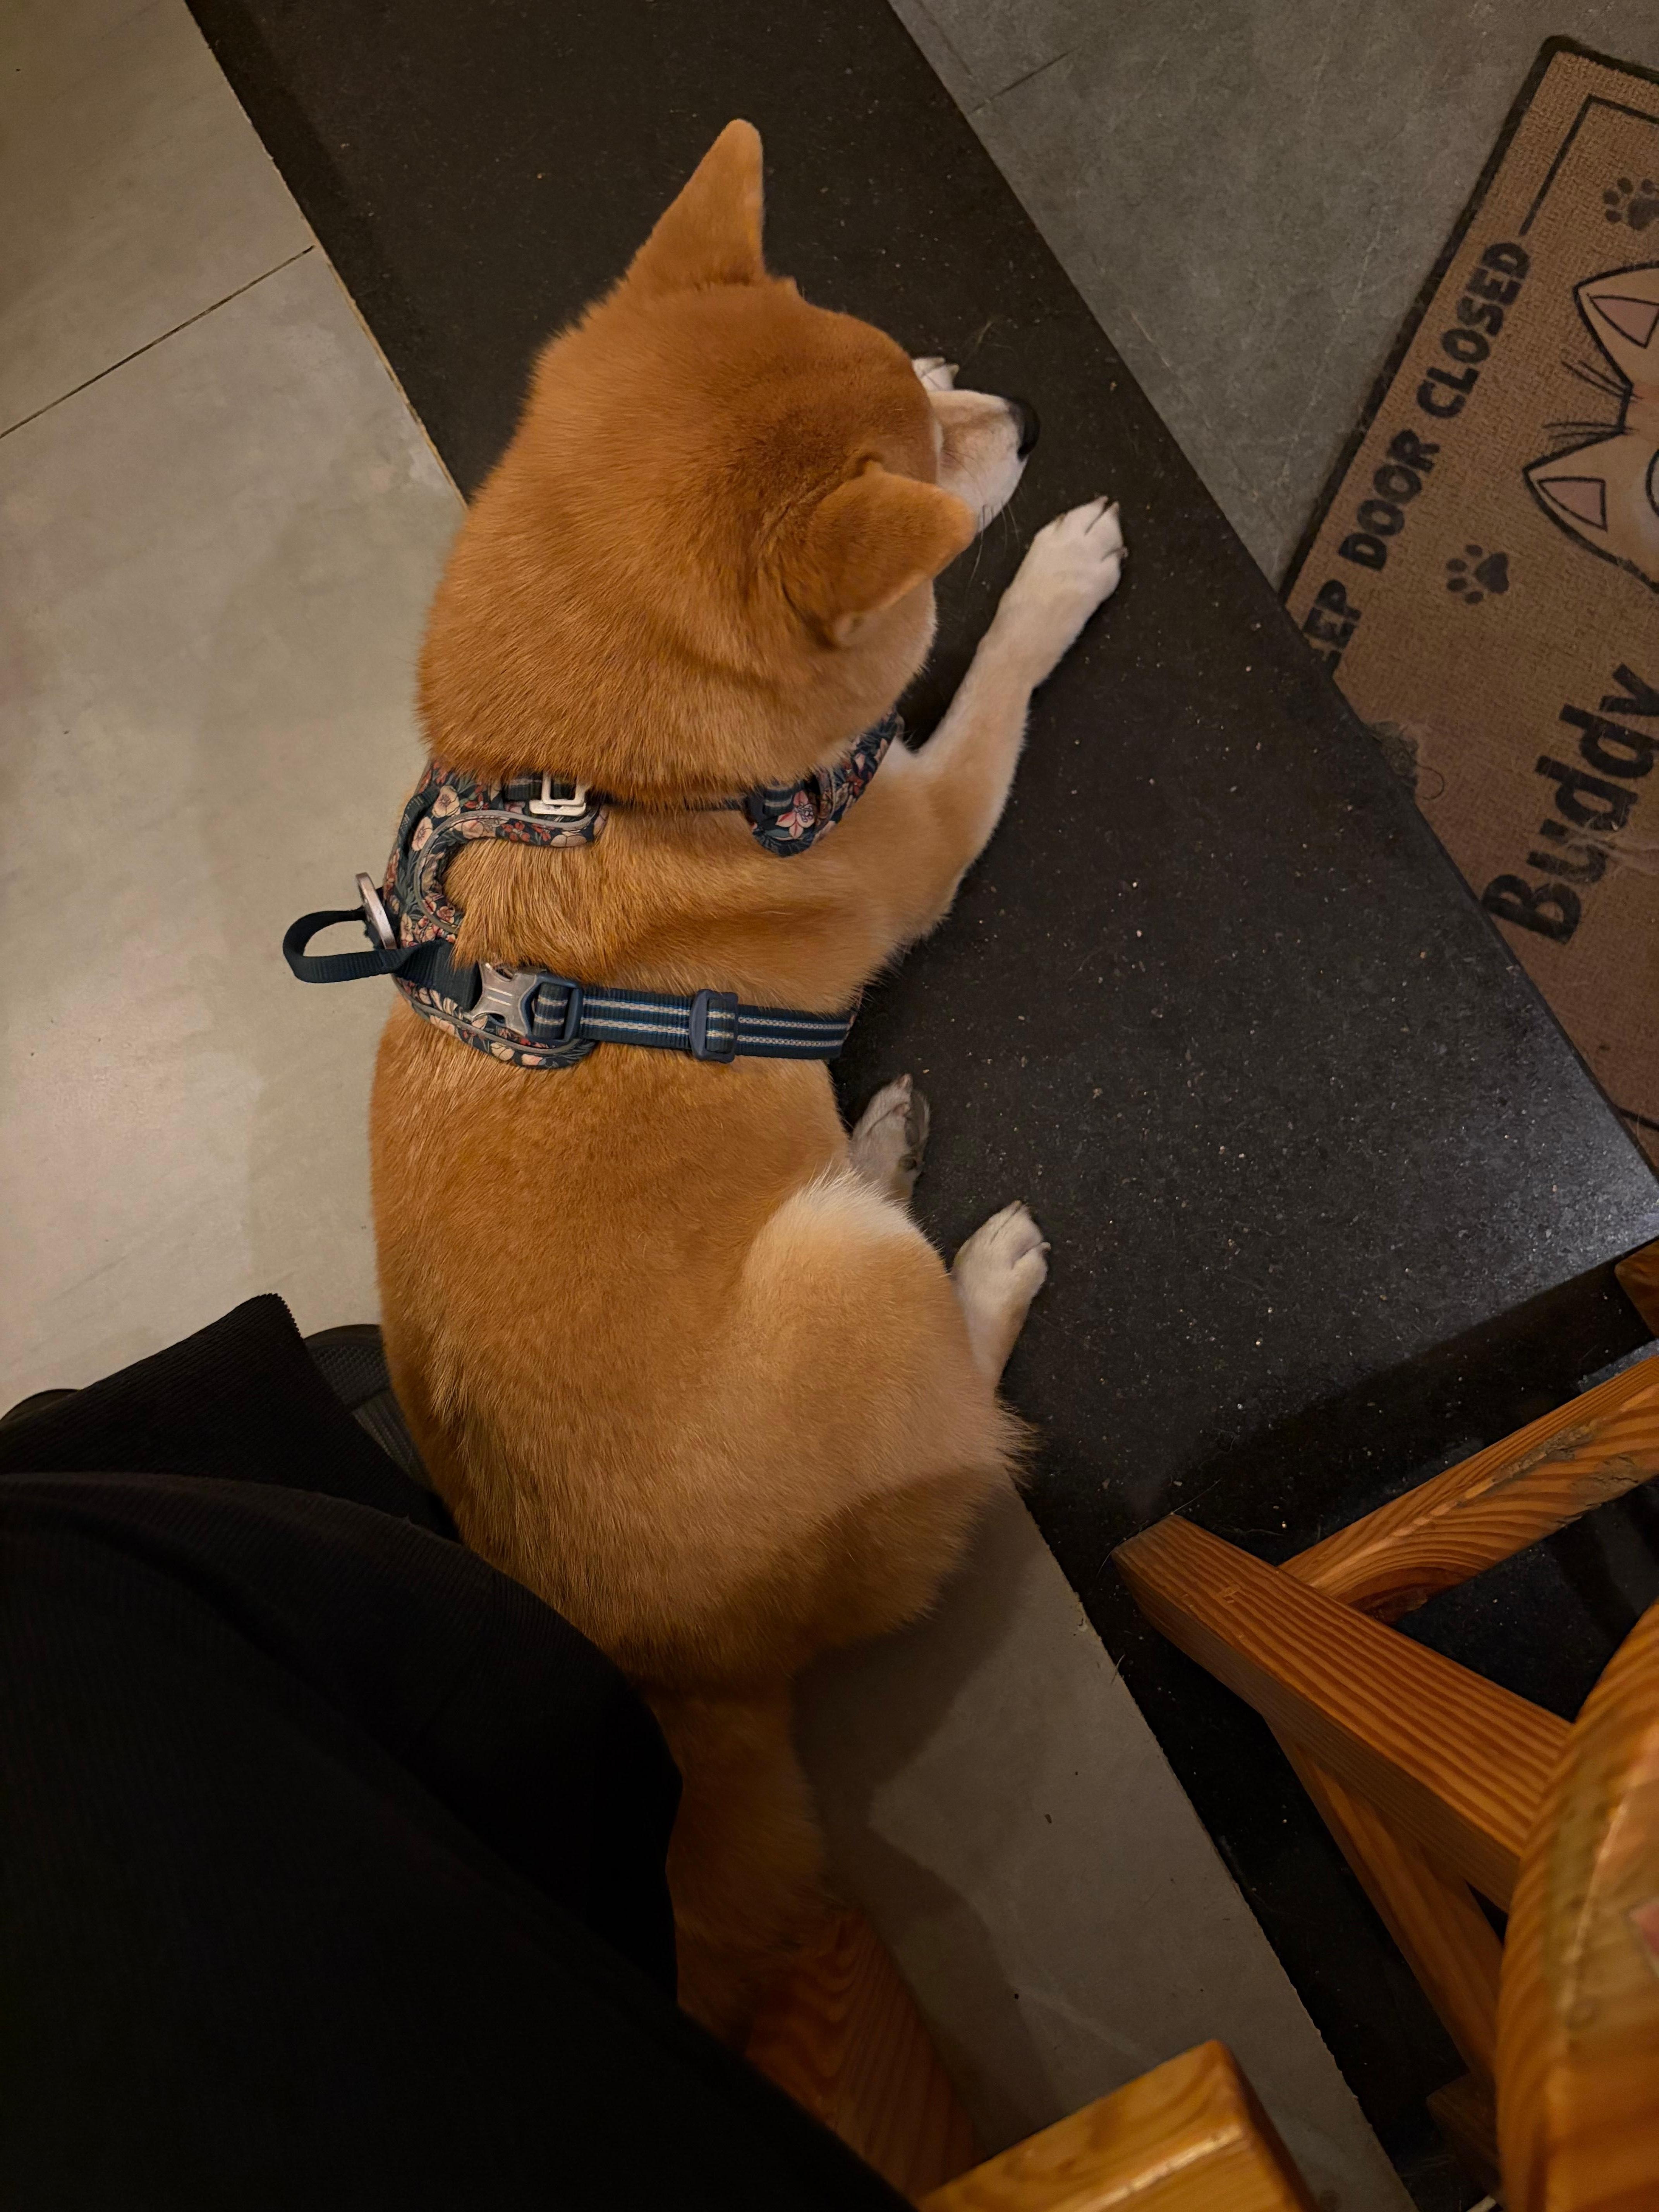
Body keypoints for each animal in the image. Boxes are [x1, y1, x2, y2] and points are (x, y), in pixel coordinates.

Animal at [370, 119, 1125, 2037]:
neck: (597, 790)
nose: (1017, 408)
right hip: (848, 1303)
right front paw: (1050, 575)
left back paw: (879, 1138)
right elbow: (986, 684)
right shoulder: (921, 828)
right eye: (924, 465)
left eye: (913, 372)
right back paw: (977, 1263)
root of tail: (677, 1684)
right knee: (964, 1420)